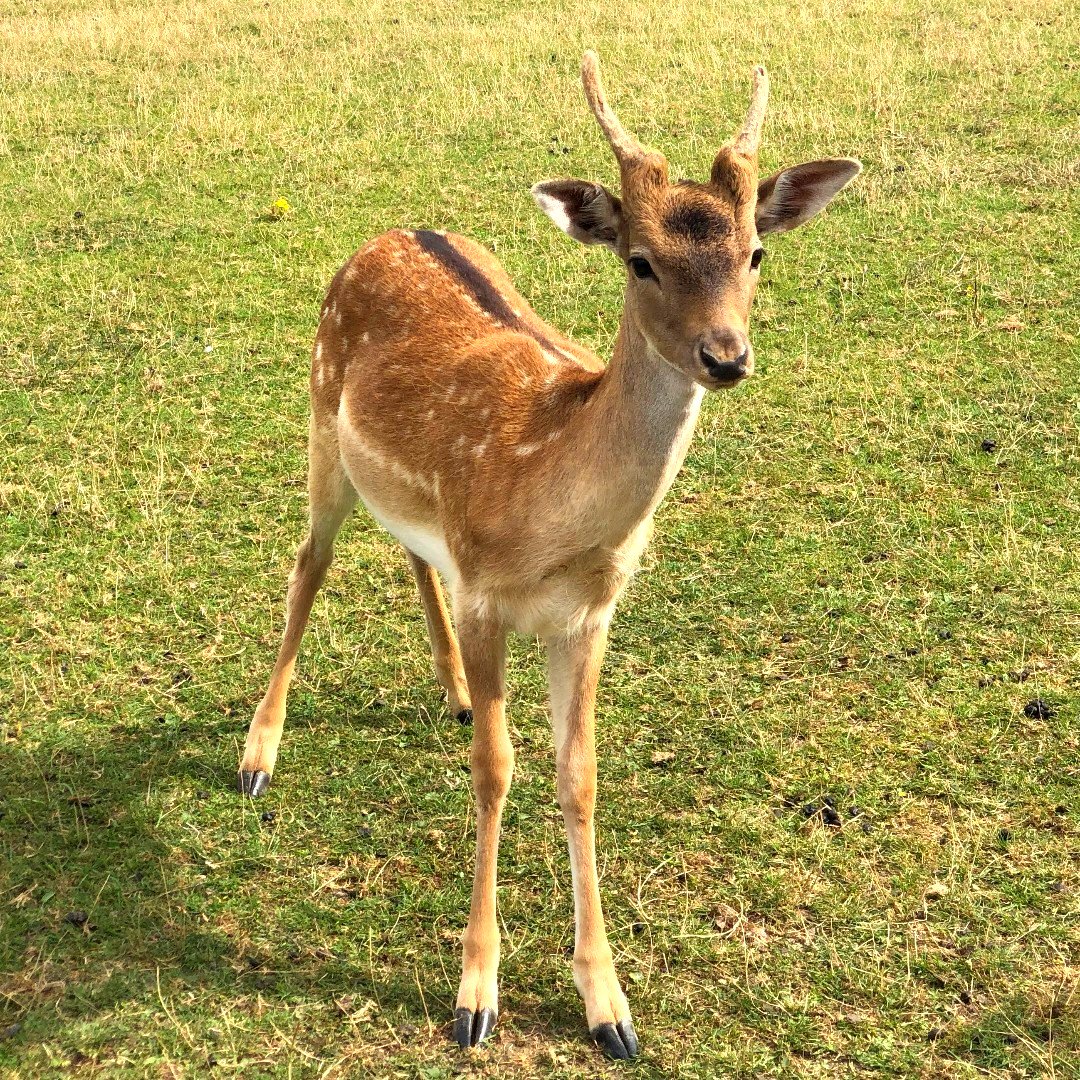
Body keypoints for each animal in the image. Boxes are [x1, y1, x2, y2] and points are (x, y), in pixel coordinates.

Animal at [236, 52, 859, 1062]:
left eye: (755, 253)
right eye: (640, 260)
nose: (725, 355)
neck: (551, 511)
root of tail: (389, 230)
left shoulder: (590, 614)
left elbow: (580, 776)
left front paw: (610, 1006)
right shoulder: (489, 595)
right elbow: (497, 769)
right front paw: (474, 996)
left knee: (407, 552)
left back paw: (449, 689)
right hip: (321, 423)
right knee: (307, 564)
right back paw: (259, 752)